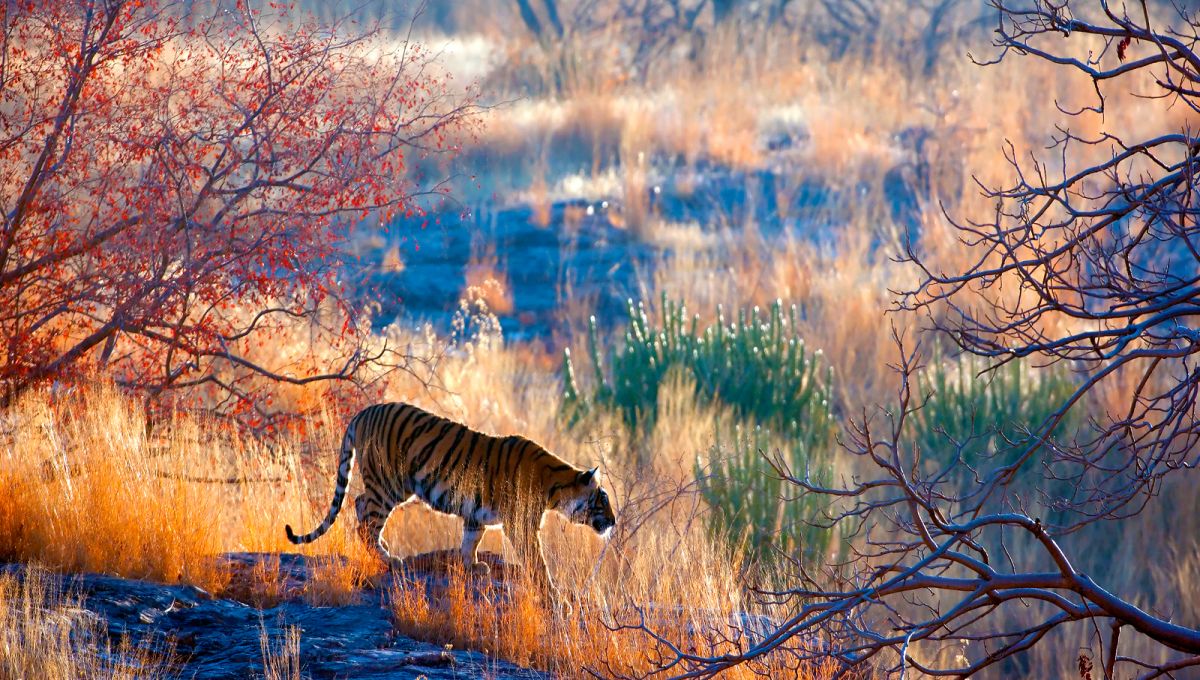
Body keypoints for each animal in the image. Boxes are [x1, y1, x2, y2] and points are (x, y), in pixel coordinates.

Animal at [285, 402, 614, 592]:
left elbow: (470, 542)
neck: (556, 488)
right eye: (603, 500)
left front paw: (473, 567)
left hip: (389, 486)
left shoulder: (476, 515)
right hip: (388, 484)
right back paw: (389, 558)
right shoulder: (522, 526)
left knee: (359, 505)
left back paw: (383, 548)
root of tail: (363, 413)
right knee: (365, 520)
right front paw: (555, 595)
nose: (612, 521)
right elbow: (537, 561)